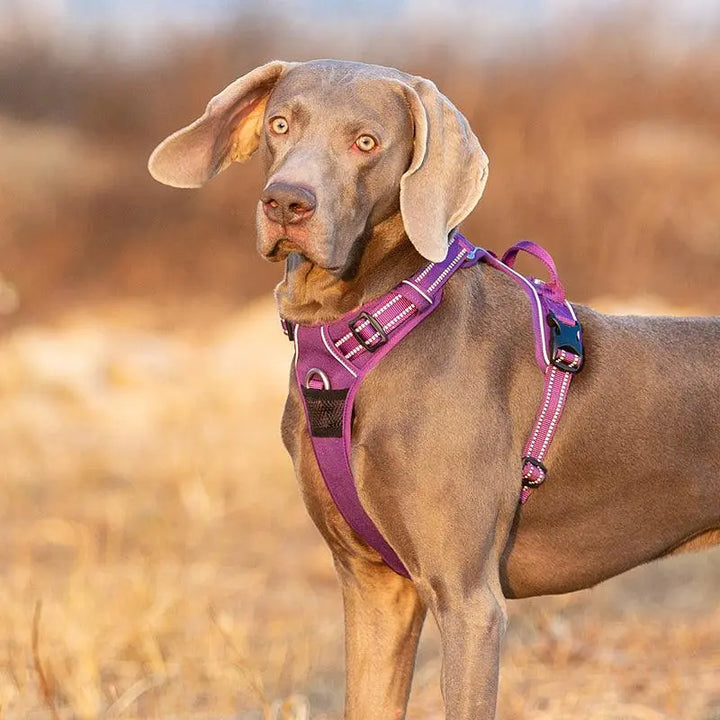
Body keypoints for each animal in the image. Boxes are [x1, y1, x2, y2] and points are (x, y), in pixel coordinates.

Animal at [148, 60, 720, 720]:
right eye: (280, 124)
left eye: (366, 142)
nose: (287, 201)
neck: (369, 328)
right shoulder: (375, 586)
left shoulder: (468, 600)